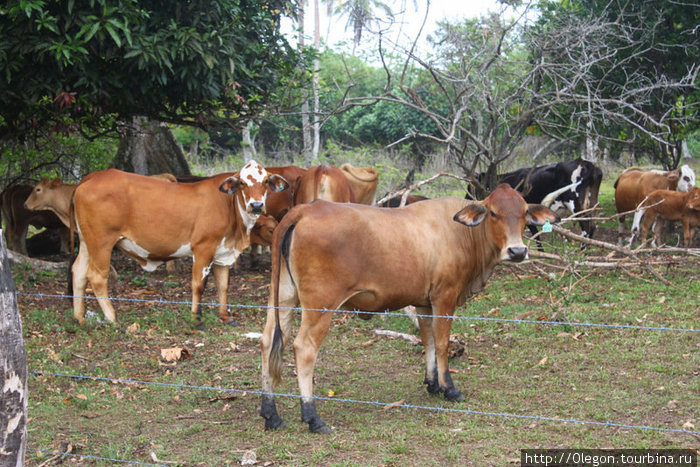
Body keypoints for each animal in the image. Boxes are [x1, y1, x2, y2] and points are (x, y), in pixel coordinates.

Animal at [71, 161, 290, 330]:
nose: (256, 205)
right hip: (102, 242)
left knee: (78, 272)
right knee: (97, 277)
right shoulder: (202, 249)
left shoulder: (223, 253)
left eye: (265, 182)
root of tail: (93, 176)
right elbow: (198, 285)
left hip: (86, 242)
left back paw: (79, 317)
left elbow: (223, 286)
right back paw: (112, 319)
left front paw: (226, 317)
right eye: (242, 183)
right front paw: (197, 321)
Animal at [260, 185, 560, 434]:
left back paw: (271, 413)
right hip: (320, 305)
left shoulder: (424, 302)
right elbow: (442, 342)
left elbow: (428, 341)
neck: (461, 232)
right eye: (494, 213)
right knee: (304, 347)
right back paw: (312, 416)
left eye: (524, 213)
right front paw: (449, 388)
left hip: (283, 296)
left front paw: (433, 383)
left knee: (269, 340)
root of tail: (306, 209)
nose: (518, 251)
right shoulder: (445, 296)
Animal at [464, 159, 600, 247]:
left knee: (586, 226)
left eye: (470, 187)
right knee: (593, 225)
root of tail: (586, 163)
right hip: (591, 202)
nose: (467, 199)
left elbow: (535, 235)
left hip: (575, 203)